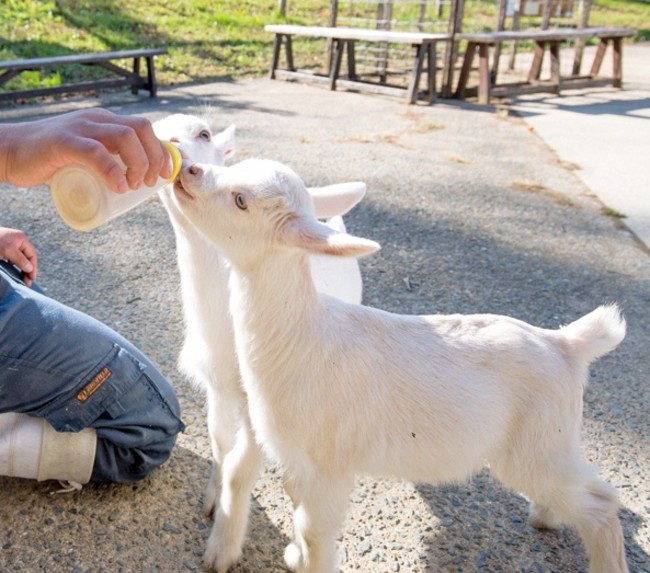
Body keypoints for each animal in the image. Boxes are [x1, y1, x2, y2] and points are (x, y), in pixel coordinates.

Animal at [150, 114, 368, 568]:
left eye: (204, 134)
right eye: (153, 126)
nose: (173, 147)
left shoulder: (261, 398)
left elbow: (242, 465)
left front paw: (222, 548)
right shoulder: (217, 384)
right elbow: (220, 441)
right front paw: (212, 500)